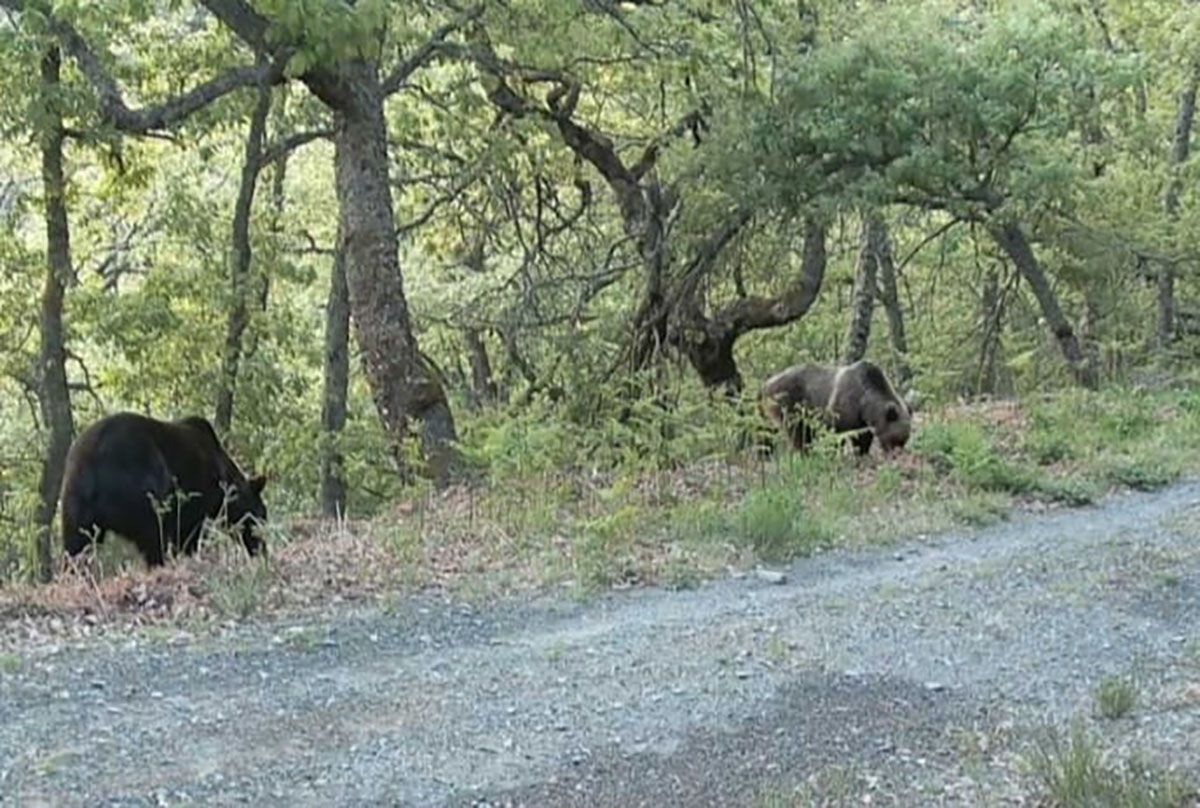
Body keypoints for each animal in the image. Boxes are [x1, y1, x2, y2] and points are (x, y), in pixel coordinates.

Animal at [60, 413, 267, 564]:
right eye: (261, 514)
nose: (262, 549)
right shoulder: (196, 498)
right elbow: (187, 533)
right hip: (142, 487)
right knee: (152, 535)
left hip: (75, 501)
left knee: (76, 544)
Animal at [763, 360, 912, 453]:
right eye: (896, 439)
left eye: (904, 440)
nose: (897, 453)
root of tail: (767, 383)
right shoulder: (842, 407)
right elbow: (835, 432)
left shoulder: (861, 421)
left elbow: (862, 438)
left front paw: (861, 453)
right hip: (791, 403)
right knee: (798, 431)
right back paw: (804, 451)